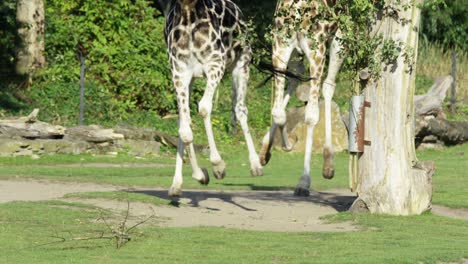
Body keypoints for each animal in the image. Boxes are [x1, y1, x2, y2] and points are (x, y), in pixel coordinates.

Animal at [156, 0, 264, 196]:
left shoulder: (201, 67)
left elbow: (196, 116)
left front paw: (210, 169)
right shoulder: (187, 70)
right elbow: (189, 126)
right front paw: (205, 172)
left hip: (215, 68)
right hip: (206, 71)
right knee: (196, 114)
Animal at [258, 0, 346, 196]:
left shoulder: (316, 49)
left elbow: (310, 116)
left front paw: (303, 181)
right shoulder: (280, 47)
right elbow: (279, 112)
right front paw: (286, 145)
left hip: (334, 42)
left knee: (326, 86)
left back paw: (328, 165)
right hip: (302, 51)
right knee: (297, 78)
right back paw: (265, 151)